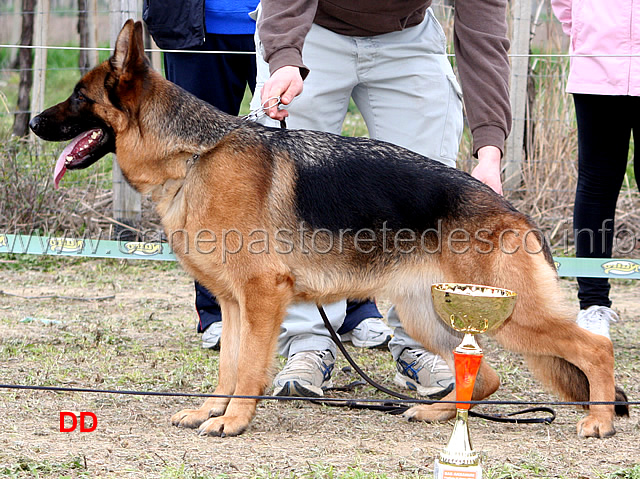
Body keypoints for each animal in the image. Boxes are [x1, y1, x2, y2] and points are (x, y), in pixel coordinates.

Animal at [28, 19, 624, 438]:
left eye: (79, 97)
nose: (32, 122)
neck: (194, 156)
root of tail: (515, 213)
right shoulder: (235, 305)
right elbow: (227, 367)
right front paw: (210, 411)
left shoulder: (262, 298)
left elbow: (249, 369)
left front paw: (234, 422)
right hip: (431, 313)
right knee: (488, 374)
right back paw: (437, 416)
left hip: (511, 314)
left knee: (594, 349)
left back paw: (599, 420)